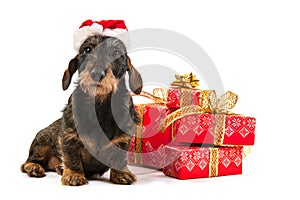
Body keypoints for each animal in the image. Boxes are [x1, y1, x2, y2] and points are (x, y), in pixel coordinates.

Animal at [21, 34, 143, 186]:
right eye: (87, 49)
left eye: (116, 53)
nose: (97, 73)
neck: (99, 105)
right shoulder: (69, 136)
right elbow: (71, 156)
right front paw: (74, 175)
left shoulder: (123, 139)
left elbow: (119, 157)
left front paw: (121, 173)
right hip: (42, 141)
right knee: (27, 162)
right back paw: (34, 167)